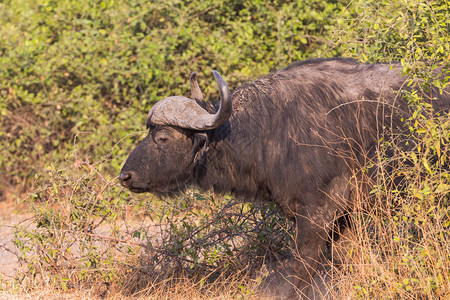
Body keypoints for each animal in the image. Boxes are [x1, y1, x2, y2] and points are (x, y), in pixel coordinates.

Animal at [120, 58, 450, 298]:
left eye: (163, 137)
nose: (125, 176)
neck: (270, 128)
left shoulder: (318, 214)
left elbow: (302, 270)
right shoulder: (341, 220)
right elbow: (345, 261)